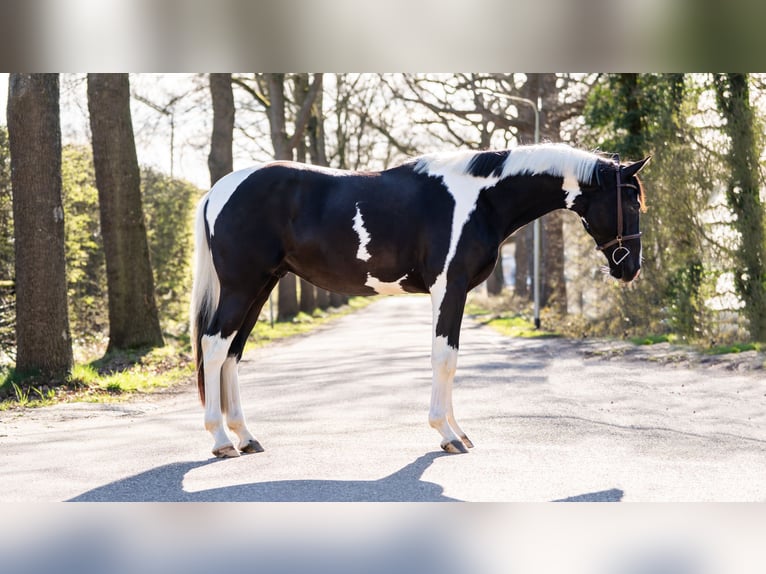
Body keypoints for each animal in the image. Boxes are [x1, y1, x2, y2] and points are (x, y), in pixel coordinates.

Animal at [191, 143, 650, 458]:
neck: (480, 200)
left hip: (262, 286)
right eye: (630, 200)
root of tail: (217, 192)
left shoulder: (455, 291)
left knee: (232, 354)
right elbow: (444, 357)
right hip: (242, 286)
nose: (629, 267)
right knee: (214, 347)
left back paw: (245, 436)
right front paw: (447, 435)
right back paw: (220, 440)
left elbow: (451, 357)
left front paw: (457, 431)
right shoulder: (449, 286)